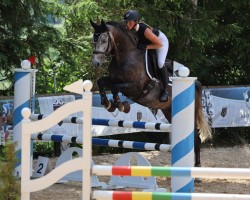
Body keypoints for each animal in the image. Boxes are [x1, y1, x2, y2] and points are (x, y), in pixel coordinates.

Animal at [90, 19, 211, 167]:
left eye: (103, 40)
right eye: (93, 40)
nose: (95, 63)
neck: (125, 56)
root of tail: (195, 83)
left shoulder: (134, 87)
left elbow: (115, 88)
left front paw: (120, 105)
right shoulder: (113, 79)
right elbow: (102, 82)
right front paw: (108, 103)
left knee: (196, 137)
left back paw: (197, 166)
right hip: (169, 111)